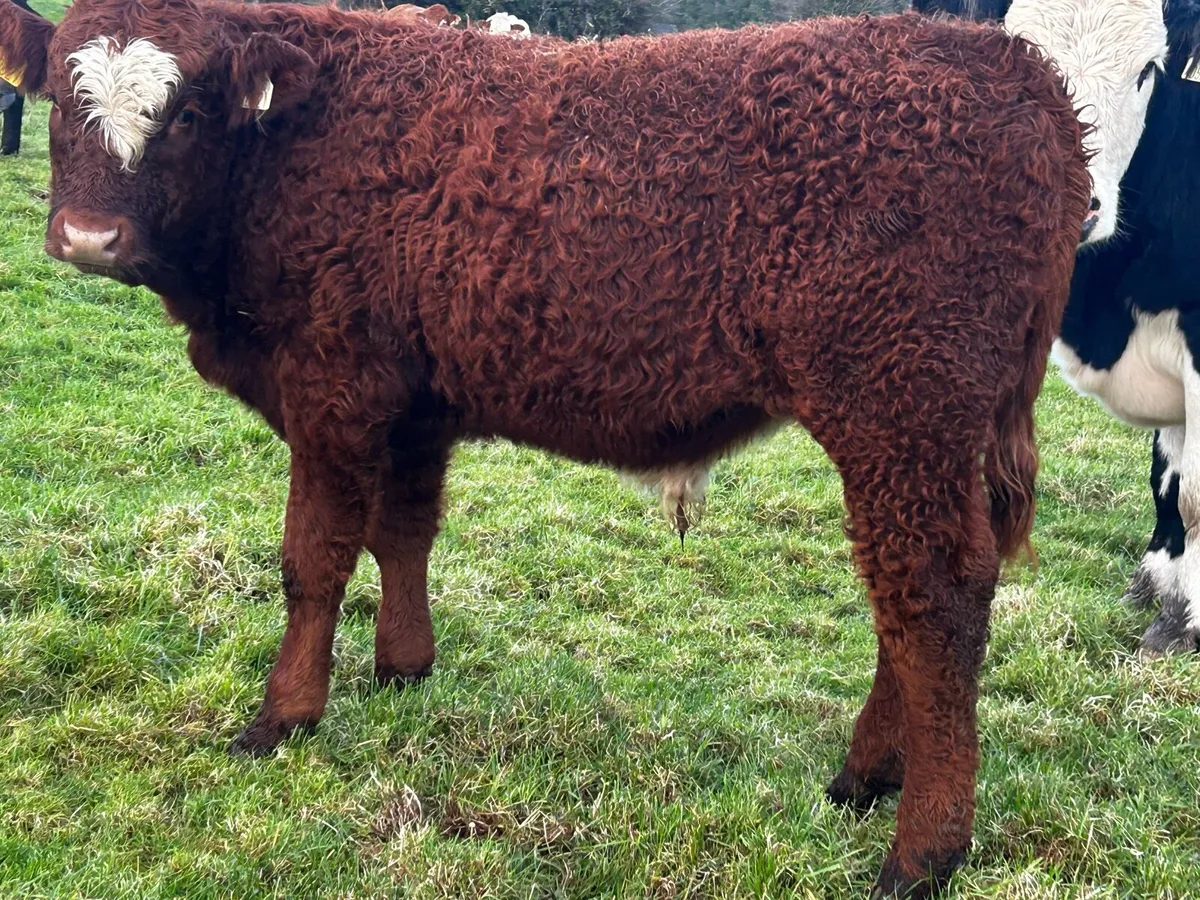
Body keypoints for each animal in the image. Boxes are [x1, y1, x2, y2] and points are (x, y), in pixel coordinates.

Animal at [0, 0, 1091, 895]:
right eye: (56, 98)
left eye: (184, 112)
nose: (88, 237)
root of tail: (1010, 65)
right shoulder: (413, 405)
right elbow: (404, 535)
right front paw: (403, 669)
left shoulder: (332, 390)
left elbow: (313, 561)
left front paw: (282, 718)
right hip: (924, 431)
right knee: (912, 597)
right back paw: (865, 777)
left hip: (900, 410)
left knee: (932, 595)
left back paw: (921, 850)